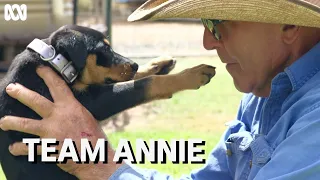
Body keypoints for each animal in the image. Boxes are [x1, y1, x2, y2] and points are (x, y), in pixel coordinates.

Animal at [0, 24, 216, 179]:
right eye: (104, 49)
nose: (134, 63)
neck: (54, 62)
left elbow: (135, 78)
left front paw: (159, 64)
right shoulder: (91, 101)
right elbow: (144, 84)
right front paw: (192, 75)